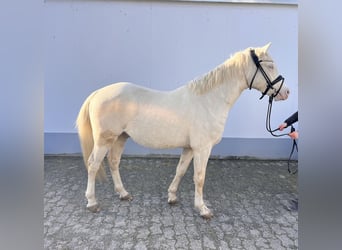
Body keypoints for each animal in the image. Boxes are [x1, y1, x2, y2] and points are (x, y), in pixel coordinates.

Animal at [76, 43, 290, 219]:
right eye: (270, 66)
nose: (286, 92)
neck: (209, 101)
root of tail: (98, 93)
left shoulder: (189, 148)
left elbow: (180, 171)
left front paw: (172, 197)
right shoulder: (203, 148)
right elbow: (200, 177)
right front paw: (203, 209)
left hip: (121, 137)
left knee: (113, 162)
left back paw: (123, 193)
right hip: (105, 139)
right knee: (93, 164)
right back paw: (92, 202)